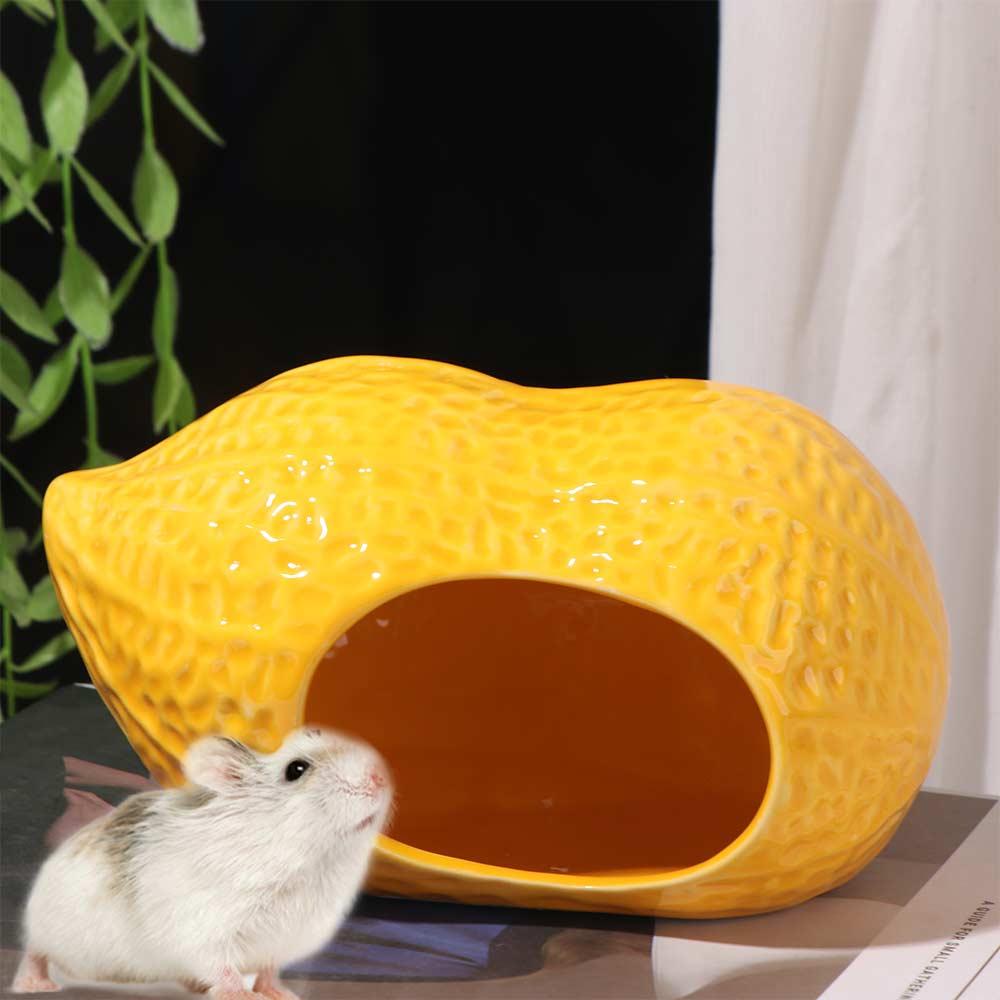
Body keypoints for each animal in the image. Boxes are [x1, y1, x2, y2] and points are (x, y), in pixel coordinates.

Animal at [12, 725, 394, 999]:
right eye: (297, 769)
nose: (380, 776)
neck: (309, 859)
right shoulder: (204, 929)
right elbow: (223, 968)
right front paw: (244, 997)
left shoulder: (284, 938)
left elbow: (268, 971)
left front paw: (280, 995)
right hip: (44, 924)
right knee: (35, 952)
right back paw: (34, 986)